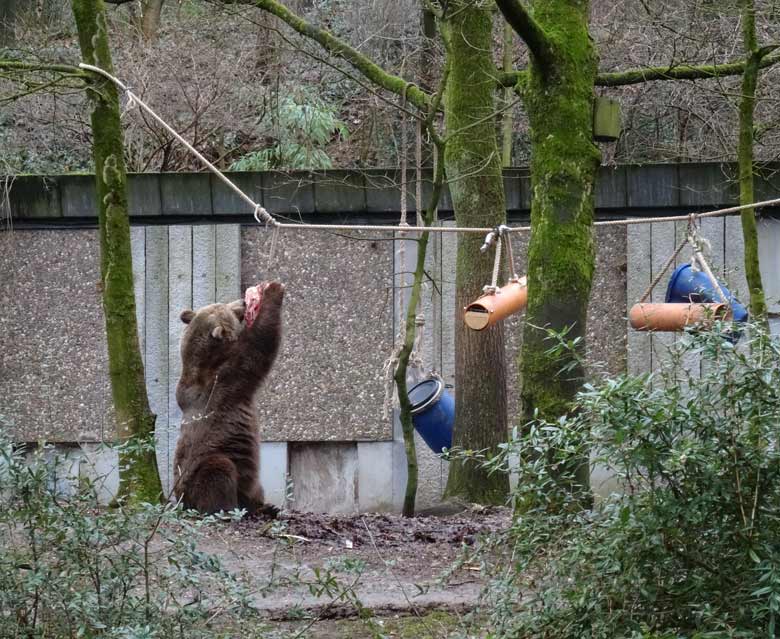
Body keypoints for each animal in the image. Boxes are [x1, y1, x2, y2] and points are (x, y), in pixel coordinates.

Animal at [172, 282, 284, 516]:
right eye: (227, 308)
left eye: (221, 303)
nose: (242, 301)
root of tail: (180, 502)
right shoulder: (226, 382)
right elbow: (259, 348)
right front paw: (273, 291)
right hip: (203, 469)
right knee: (218, 471)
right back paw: (227, 509)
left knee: (255, 489)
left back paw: (266, 507)